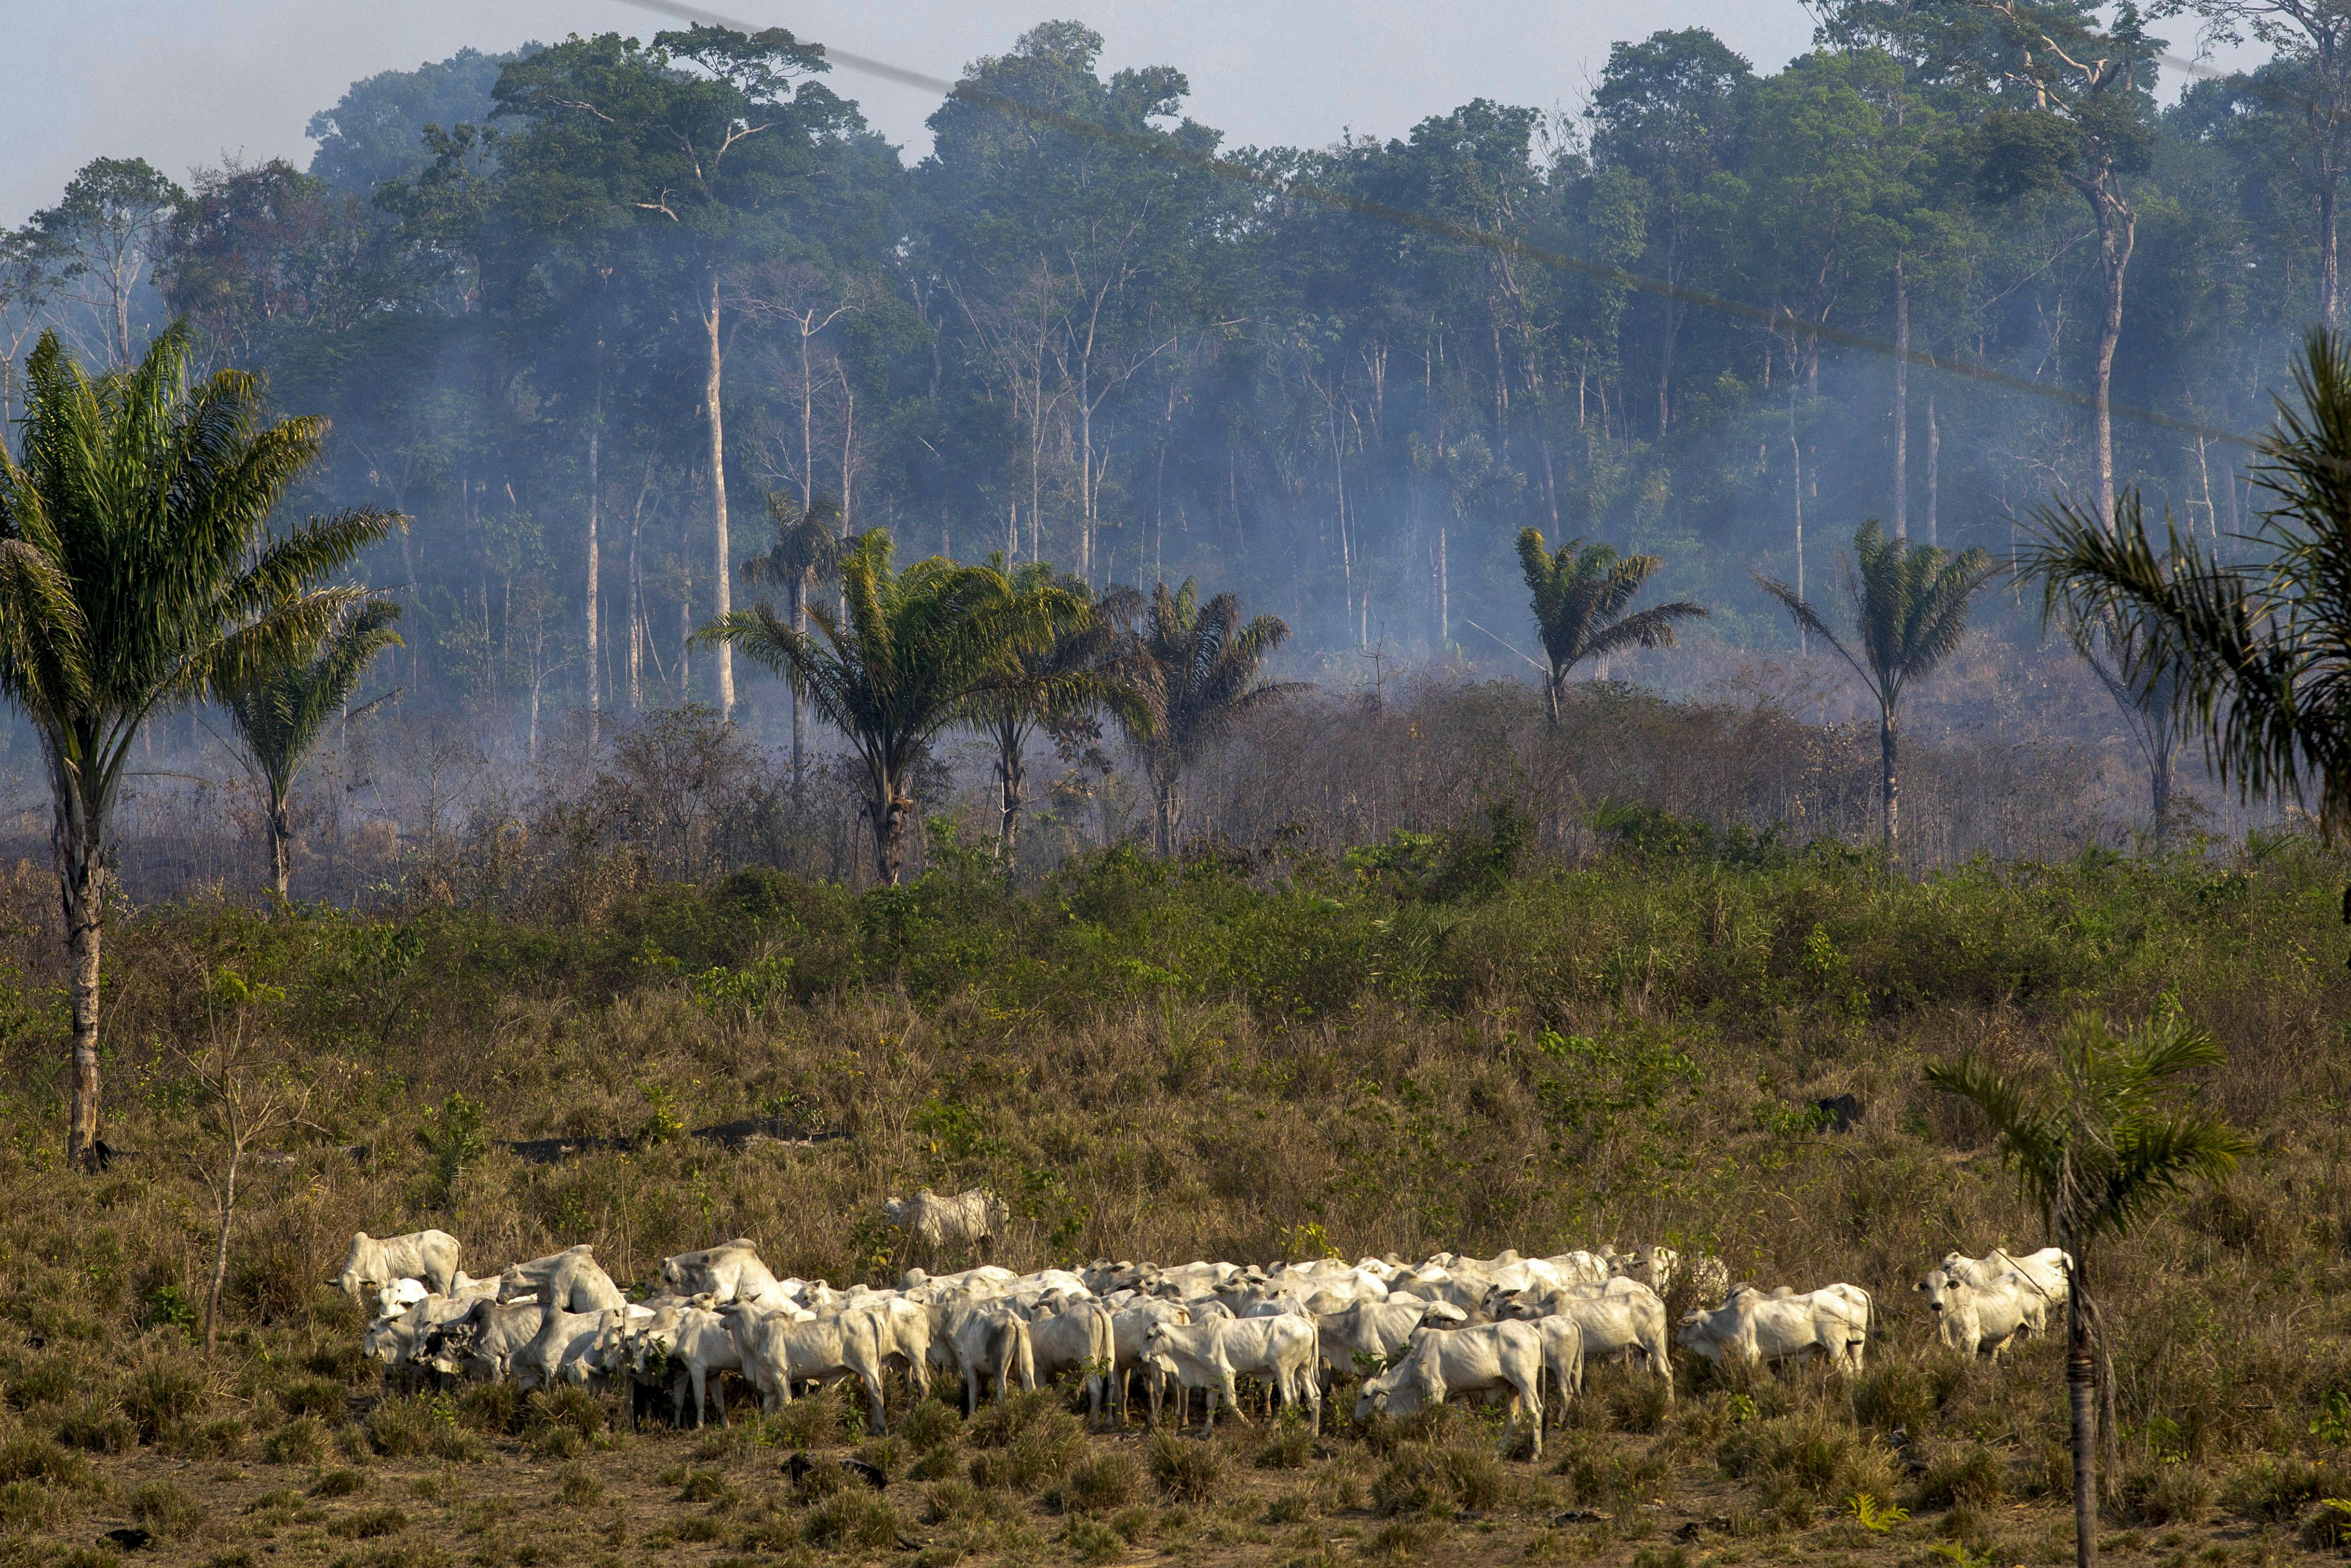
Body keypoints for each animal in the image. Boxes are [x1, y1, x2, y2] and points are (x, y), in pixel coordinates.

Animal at [336, 1241, 458, 1298]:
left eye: (356, 1288)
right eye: (342, 1289)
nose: (351, 1303)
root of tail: (451, 1239)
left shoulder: (381, 1284)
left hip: (442, 1282)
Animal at [1354, 1326, 1551, 1457]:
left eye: (1365, 1397)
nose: (1356, 1419)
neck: (1414, 1361)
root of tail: (1531, 1330)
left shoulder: (1435, 1390)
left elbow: (1433, 1419)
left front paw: (1433, 1444)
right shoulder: (1456, 1396)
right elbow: (1460, 1421)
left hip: (1525, 1382)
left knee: (1536, 1410)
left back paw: (1535, 1454)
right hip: (1513, 1388)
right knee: (1514, 1418)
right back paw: (1499, 1449)